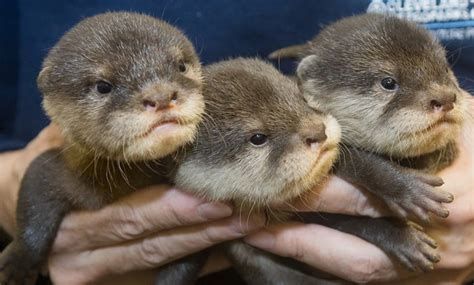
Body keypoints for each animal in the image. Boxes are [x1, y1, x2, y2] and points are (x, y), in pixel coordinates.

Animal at [0, 11, 203, 282]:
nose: (160, 96)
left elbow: (186, 262)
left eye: (180, 66)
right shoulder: (48, 169)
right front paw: (17, 266)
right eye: (103, 86)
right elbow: (32, 208)